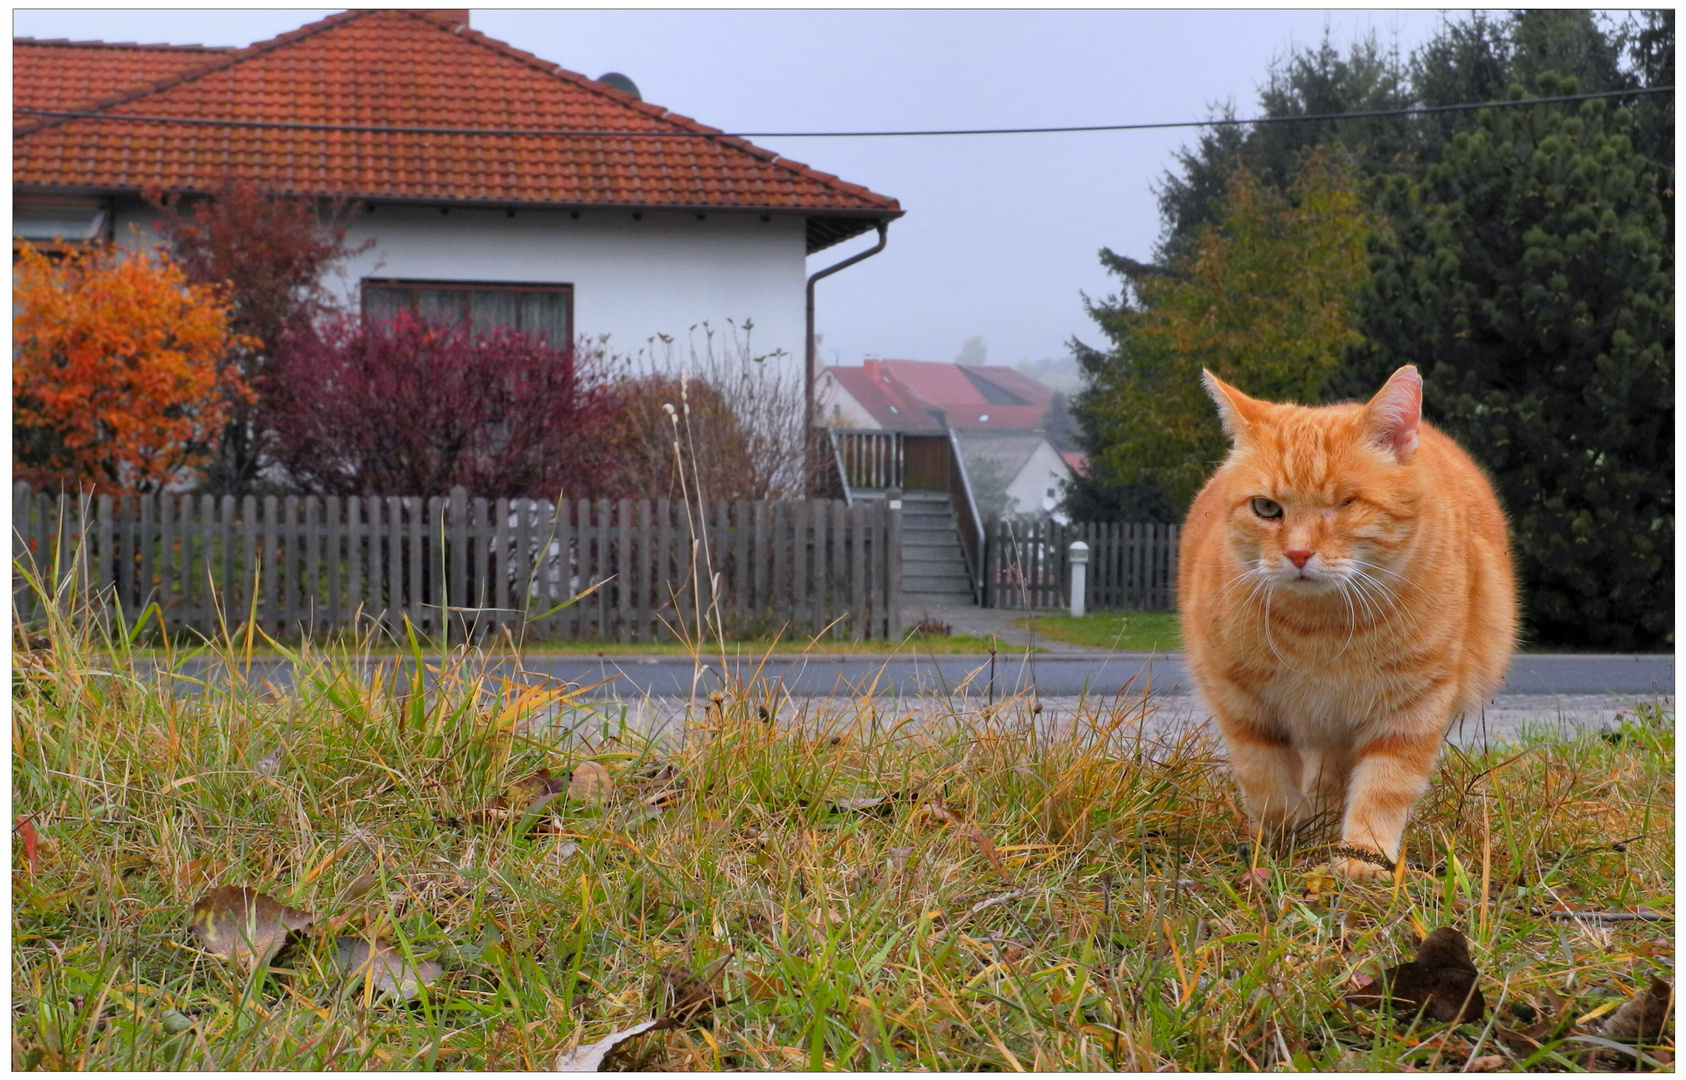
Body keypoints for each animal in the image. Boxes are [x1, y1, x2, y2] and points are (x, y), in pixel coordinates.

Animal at [1180, 367, 1524, 882]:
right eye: (1266, 508)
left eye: (1345, 503)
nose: (1298, 553)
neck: (1321, 632)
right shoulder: (1239, 701)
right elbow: (1265, 780)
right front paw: (1281, 843)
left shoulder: (1412, 706)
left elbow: (1383, 788)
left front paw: (1362, 858)